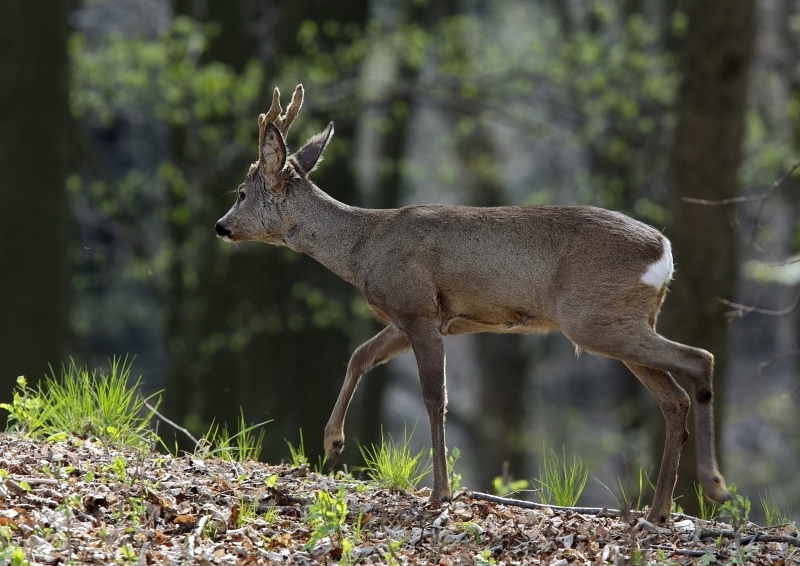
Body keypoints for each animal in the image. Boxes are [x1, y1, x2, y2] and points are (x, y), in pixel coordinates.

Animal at [214, 83, 732, 524]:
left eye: (240, 192)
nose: (221, 226)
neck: (362, 247)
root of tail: (663, 250)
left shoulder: (417, 309)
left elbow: (434, 397)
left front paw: (440, 493)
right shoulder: (421, 316)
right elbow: (360, 355)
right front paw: (332, 442)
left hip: (593, 319)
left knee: (699, 359)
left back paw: (713, 486)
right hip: (624, 320)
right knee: (674, 399)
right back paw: (658, 512)